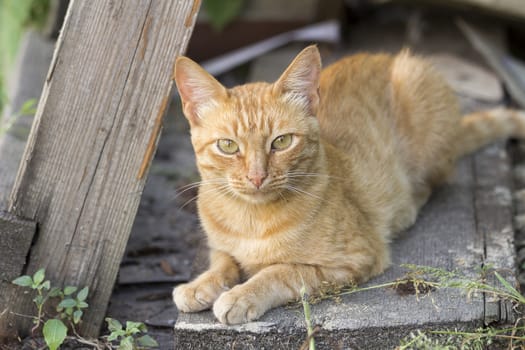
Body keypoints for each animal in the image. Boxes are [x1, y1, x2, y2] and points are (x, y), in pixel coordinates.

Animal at [172, 45, 524, 324]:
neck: (251, 220)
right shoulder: (220, 246)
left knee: (434, 180)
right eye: (228, 146)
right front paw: (199, 285)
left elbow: (280, 272)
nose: (257, 177)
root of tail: (385, 56)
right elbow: (223, 262)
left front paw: (241, 295)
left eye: (282, 142)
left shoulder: (352, 259)